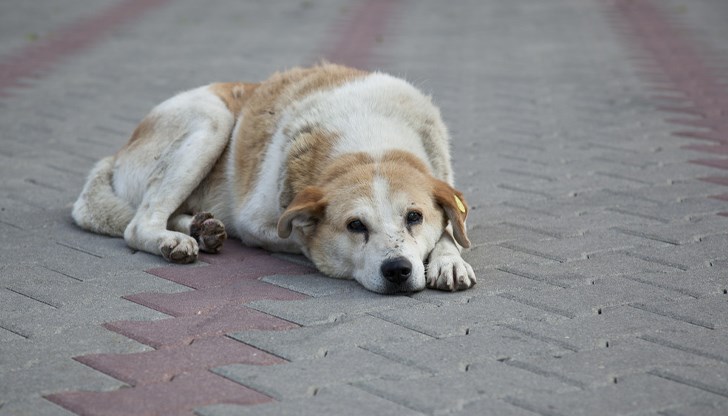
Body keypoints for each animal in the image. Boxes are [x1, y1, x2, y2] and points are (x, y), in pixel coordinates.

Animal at [71, 63, 474, 294]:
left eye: (414, 217)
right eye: (355, 225)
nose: (397, 270)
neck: (369, 141)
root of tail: (116, 153)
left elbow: (449, 230)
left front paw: (448, 260)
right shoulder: (256, 223)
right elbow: (299, 236)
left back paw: (201, 227)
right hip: (211, 119)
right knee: (139, 223)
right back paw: (174, 240)